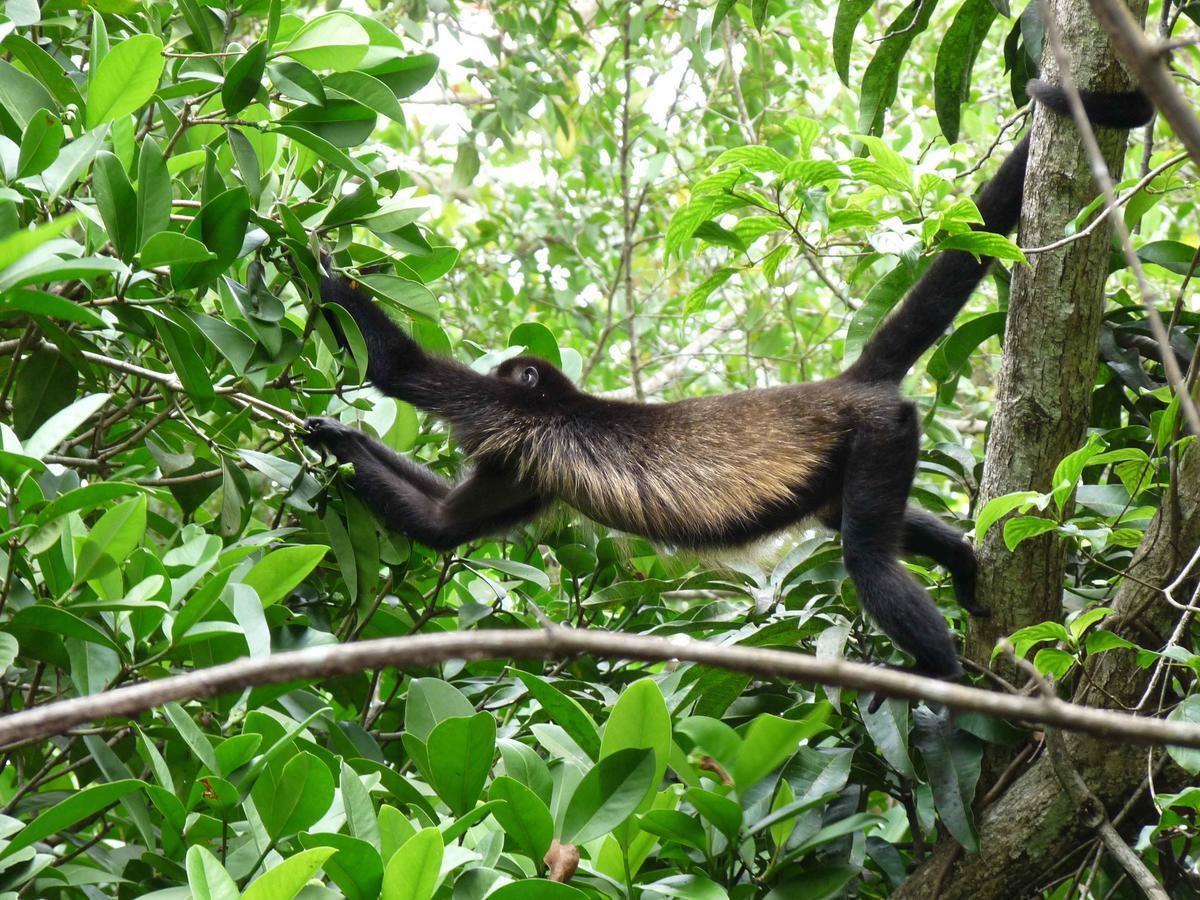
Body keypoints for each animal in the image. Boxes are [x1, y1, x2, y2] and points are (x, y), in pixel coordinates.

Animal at [307, 84, 1152, 686]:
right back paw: (966, 565)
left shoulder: (508, 417)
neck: (554, 402)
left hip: (881, 431)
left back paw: (940, 677)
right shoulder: (520, 463)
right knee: (846, 518)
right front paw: (340, 438)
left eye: (501, 369)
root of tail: (847, 383)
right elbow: (441, 526)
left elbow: (400, 371)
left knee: (865, 555)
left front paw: (314, 262)